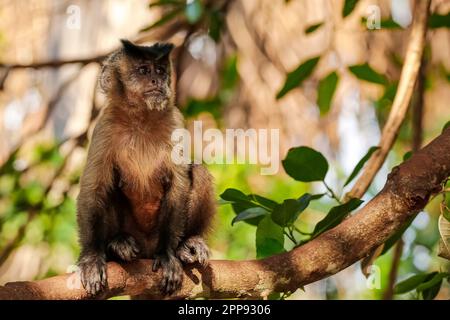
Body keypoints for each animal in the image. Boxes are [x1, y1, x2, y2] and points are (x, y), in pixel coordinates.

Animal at [76, 40, 216, 298]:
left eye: (160, 71)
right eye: (143, 70)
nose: (156, 81)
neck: (140, 118)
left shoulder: (174, 120)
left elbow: (178, 184)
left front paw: (168, 256)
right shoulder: (104, 126)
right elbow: (94, 189)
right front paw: (91, 258)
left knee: (198, 171)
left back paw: (188, 244)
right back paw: (117, 245)